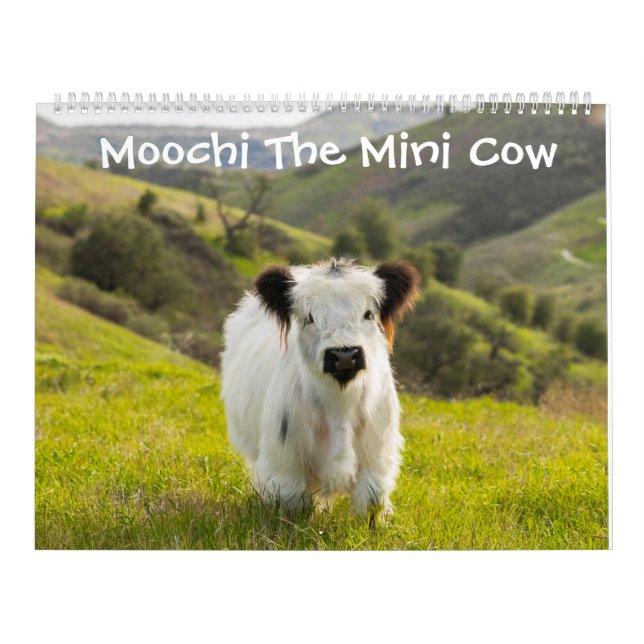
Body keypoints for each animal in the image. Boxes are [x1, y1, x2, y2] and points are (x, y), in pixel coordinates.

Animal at [221, 257, 420, 523]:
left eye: (368, 314)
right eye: (309, 318)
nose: (344, 355)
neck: (340, 404)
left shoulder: (377, 455)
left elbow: (371, 502)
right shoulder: (286, 461)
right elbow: (292, 504)